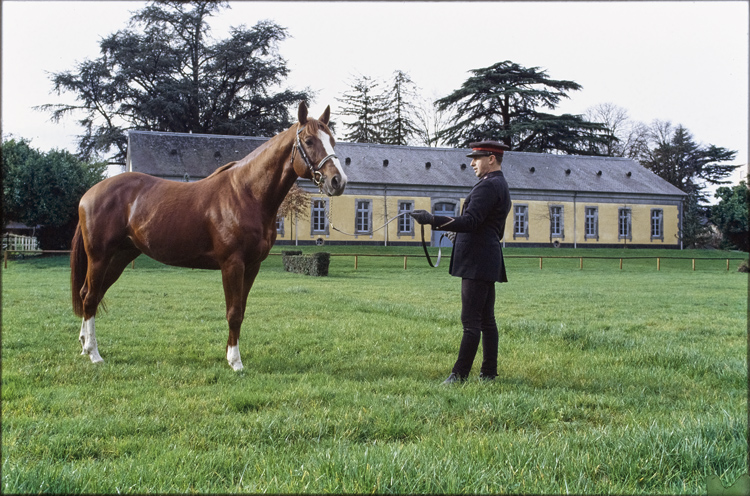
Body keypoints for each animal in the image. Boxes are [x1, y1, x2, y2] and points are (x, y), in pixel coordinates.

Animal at [70, 103, 346, 368]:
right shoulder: (232, 264)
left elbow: (241, 310)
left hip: (120, 257)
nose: (338, 181)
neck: (246, 194)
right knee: (91, 297)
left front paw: (229, 354)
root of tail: (89, 194)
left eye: (332, 140)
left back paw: (84, 345)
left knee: (89, 294)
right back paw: (94, 354)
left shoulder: (252, 266)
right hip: (100, 257)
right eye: (309, 141)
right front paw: (235, 362)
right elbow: (233, 312)